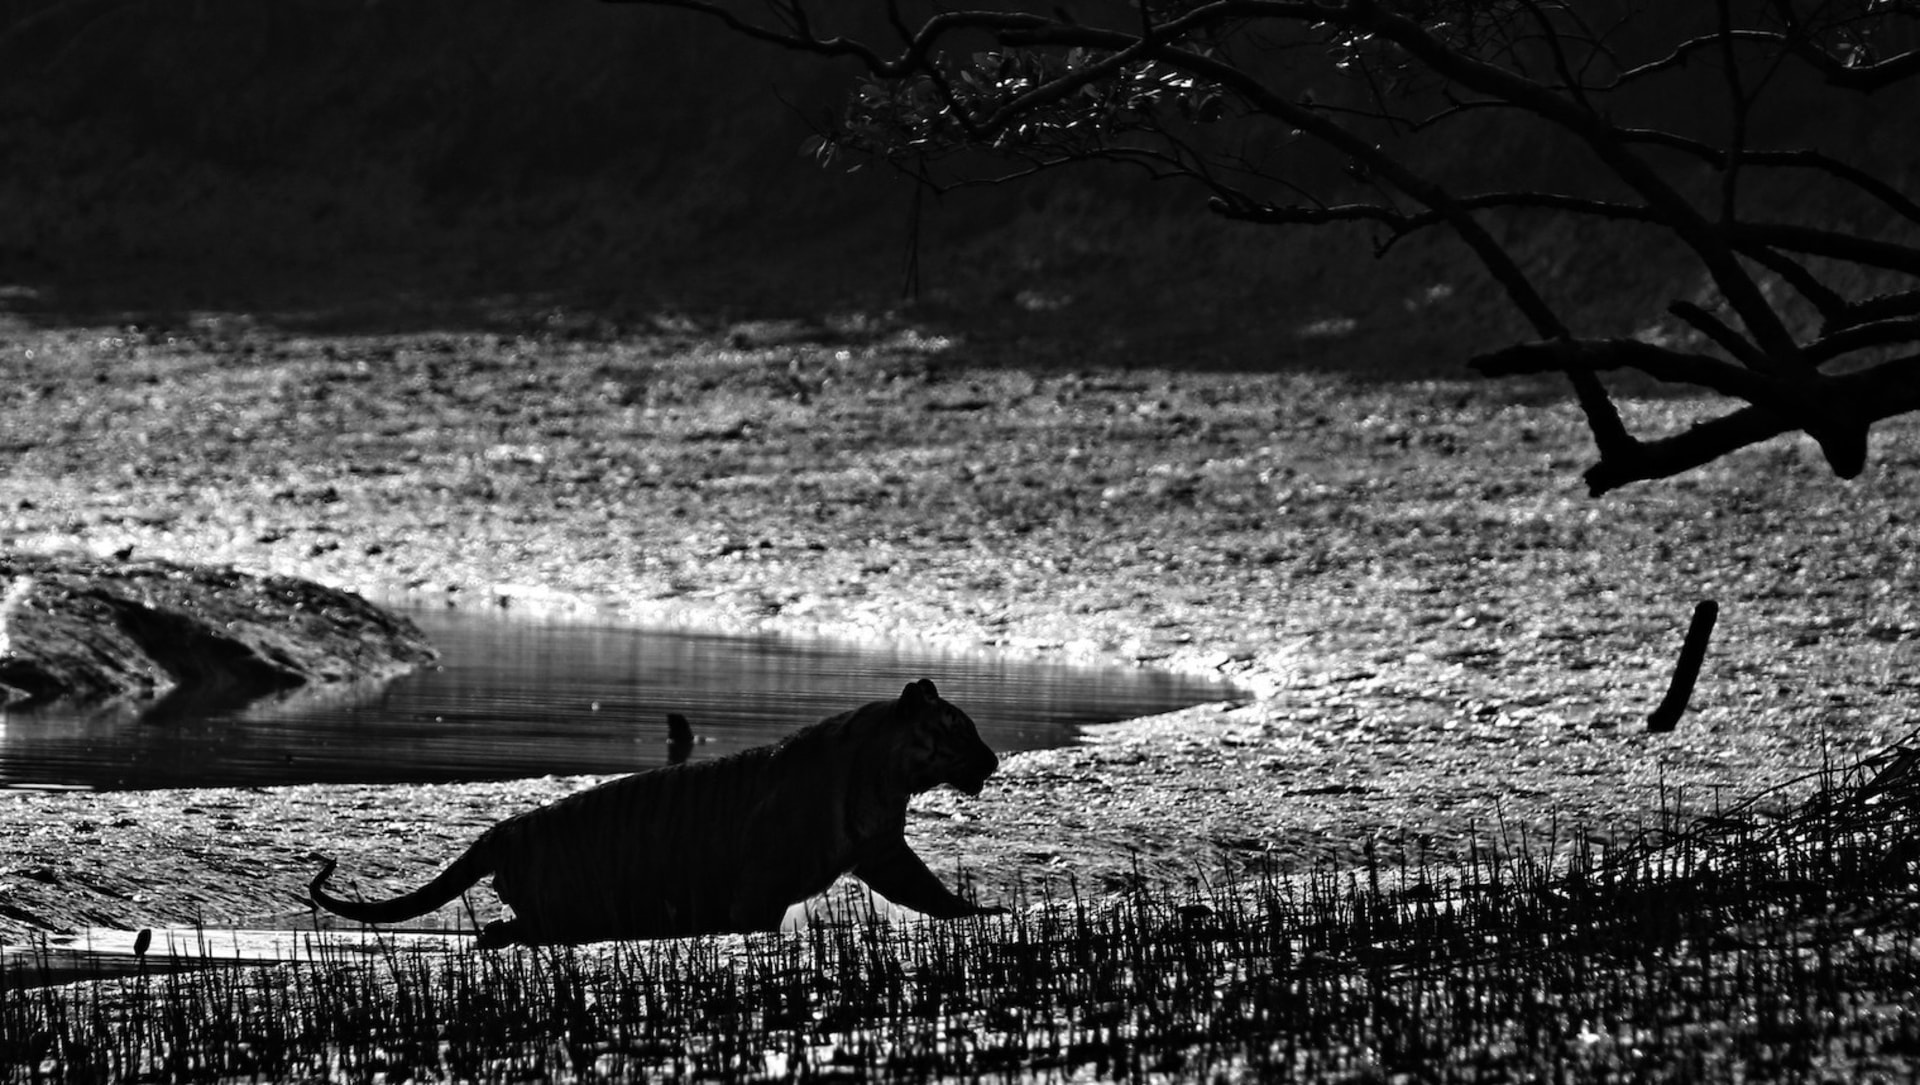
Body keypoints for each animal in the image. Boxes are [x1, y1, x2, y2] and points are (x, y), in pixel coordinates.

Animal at [309, 678, 1003, 946]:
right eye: (962, 729)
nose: (993, 759)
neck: (887, 776)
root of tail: (501, 831)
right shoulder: (761, 888)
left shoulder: (883, 850)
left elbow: (933, 893)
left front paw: (988, 913)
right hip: (563, 907)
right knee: (507, 930)